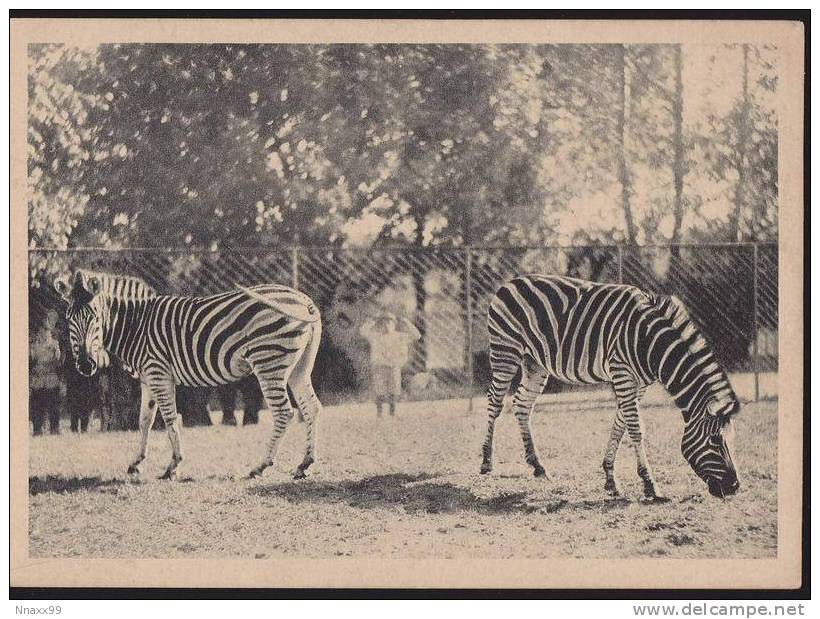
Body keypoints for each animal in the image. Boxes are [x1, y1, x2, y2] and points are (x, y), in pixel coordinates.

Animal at [53, 270, 324, 480]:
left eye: (95, 317)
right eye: (69, 319)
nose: (85, 364)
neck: (136, 326)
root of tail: (304, 300)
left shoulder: (159, 374)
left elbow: (170, 420)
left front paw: (173, 465)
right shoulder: (148, 379)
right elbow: (144, 421)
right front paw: (136, 462)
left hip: (269, 362)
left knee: (284, 412)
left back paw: (261, 466)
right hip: (300, 367)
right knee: (311, 407)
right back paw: (304, 464)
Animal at [484, 274, 740, 498]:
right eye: (715, 440)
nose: (735, 487)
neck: (651, 343)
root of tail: (511, 281)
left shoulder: (639, 383)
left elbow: (620, 425)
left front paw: (610, 479)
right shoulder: (622, 372)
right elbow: (635, 428)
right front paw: (649, 485)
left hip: (535, 363)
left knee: (522, 405)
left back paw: (538, 466)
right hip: (505, 351)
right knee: (495, 402)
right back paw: (487, 463)